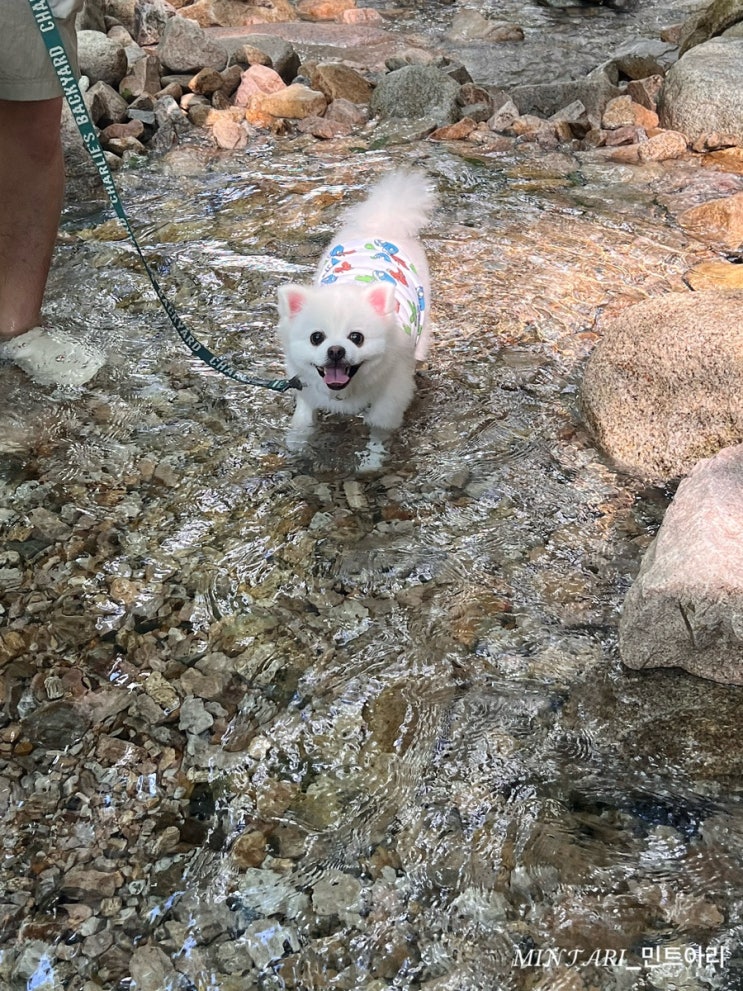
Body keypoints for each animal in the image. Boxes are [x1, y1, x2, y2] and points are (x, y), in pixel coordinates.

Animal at [277, 171, 436, 461]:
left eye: (356, 337)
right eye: (316, 337)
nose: (336, 350)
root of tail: (381, 224)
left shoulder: (391, 397)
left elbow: (378, 430)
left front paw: (371, 462)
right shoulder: (306, 386)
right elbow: (303, 417)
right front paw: (297, 442)